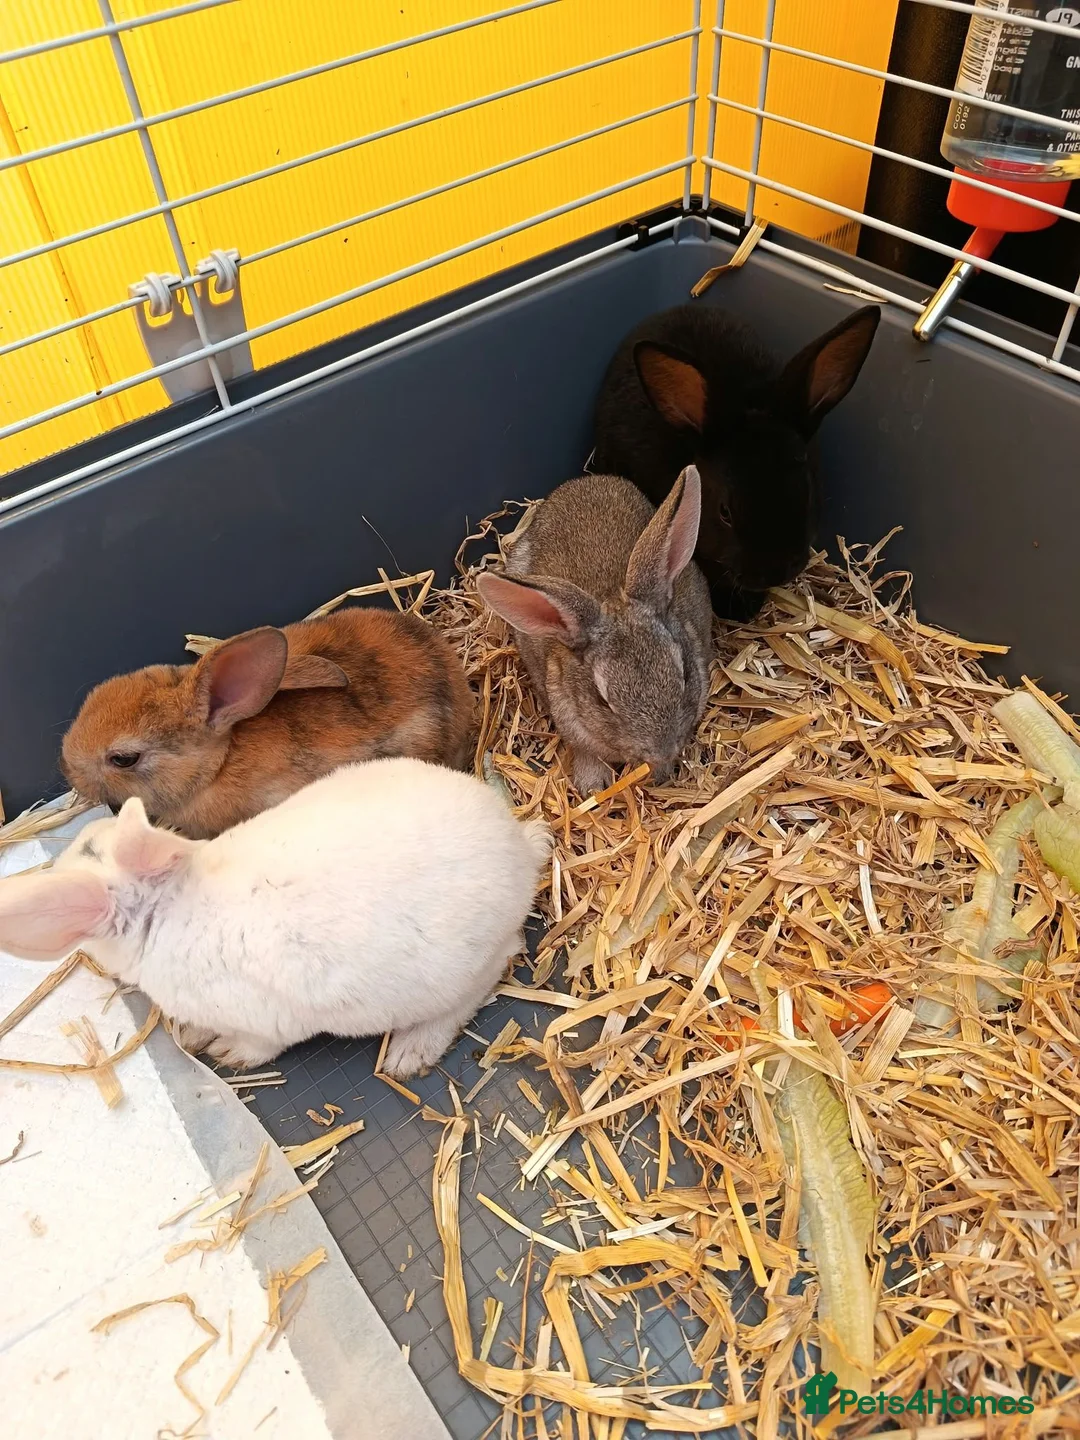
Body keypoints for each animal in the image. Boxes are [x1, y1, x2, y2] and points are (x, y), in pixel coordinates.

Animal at [0, 758, 551, 1077]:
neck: (170, 909)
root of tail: (518, 849)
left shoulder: (265, 1022)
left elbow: (258, 1046)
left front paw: (226, 1054)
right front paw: (193, 1036)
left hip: (459, 974)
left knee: (483, 982)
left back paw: (408, 1055)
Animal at [476, 465, 711, 795]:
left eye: (686, 675)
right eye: (603, 701)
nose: (661, 751)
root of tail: (582, 481)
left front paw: (660, 773)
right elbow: (586, 752)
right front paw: (592, 787)